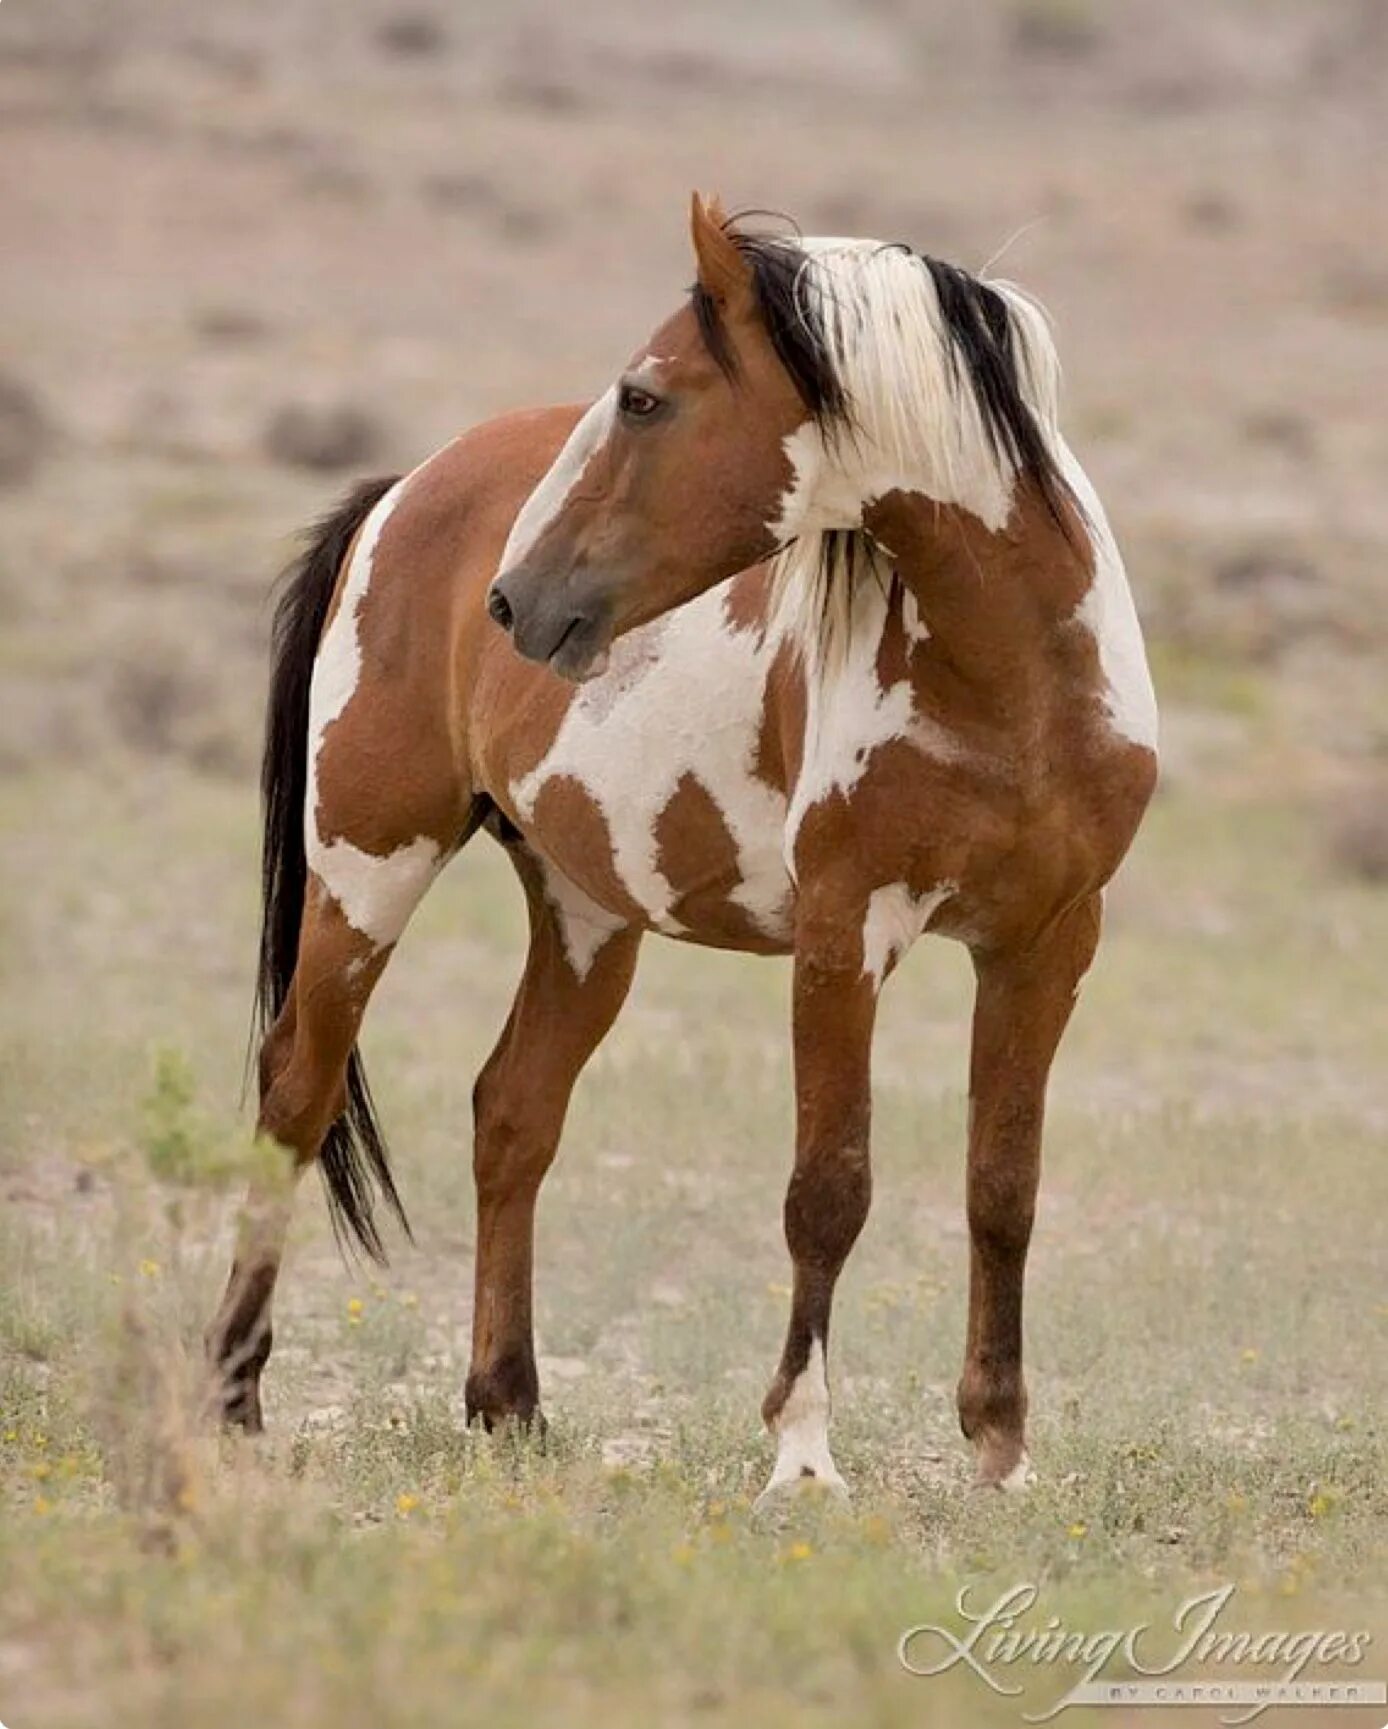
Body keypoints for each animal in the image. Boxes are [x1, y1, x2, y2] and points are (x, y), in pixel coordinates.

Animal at [206, 196, 1161, 1507]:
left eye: (645, 398)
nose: (513, 600)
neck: (1013, 679)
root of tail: (408, 488)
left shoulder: (1046, 943)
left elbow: (1000, 1190)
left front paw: (1000, 1455)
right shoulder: (843, 936)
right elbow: (828, 1190)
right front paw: (802, 1459)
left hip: (584, 916)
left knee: (512, 1113)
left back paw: (508, 1404)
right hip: (368, 870)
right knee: (294, 1098)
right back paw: (234, 1398)